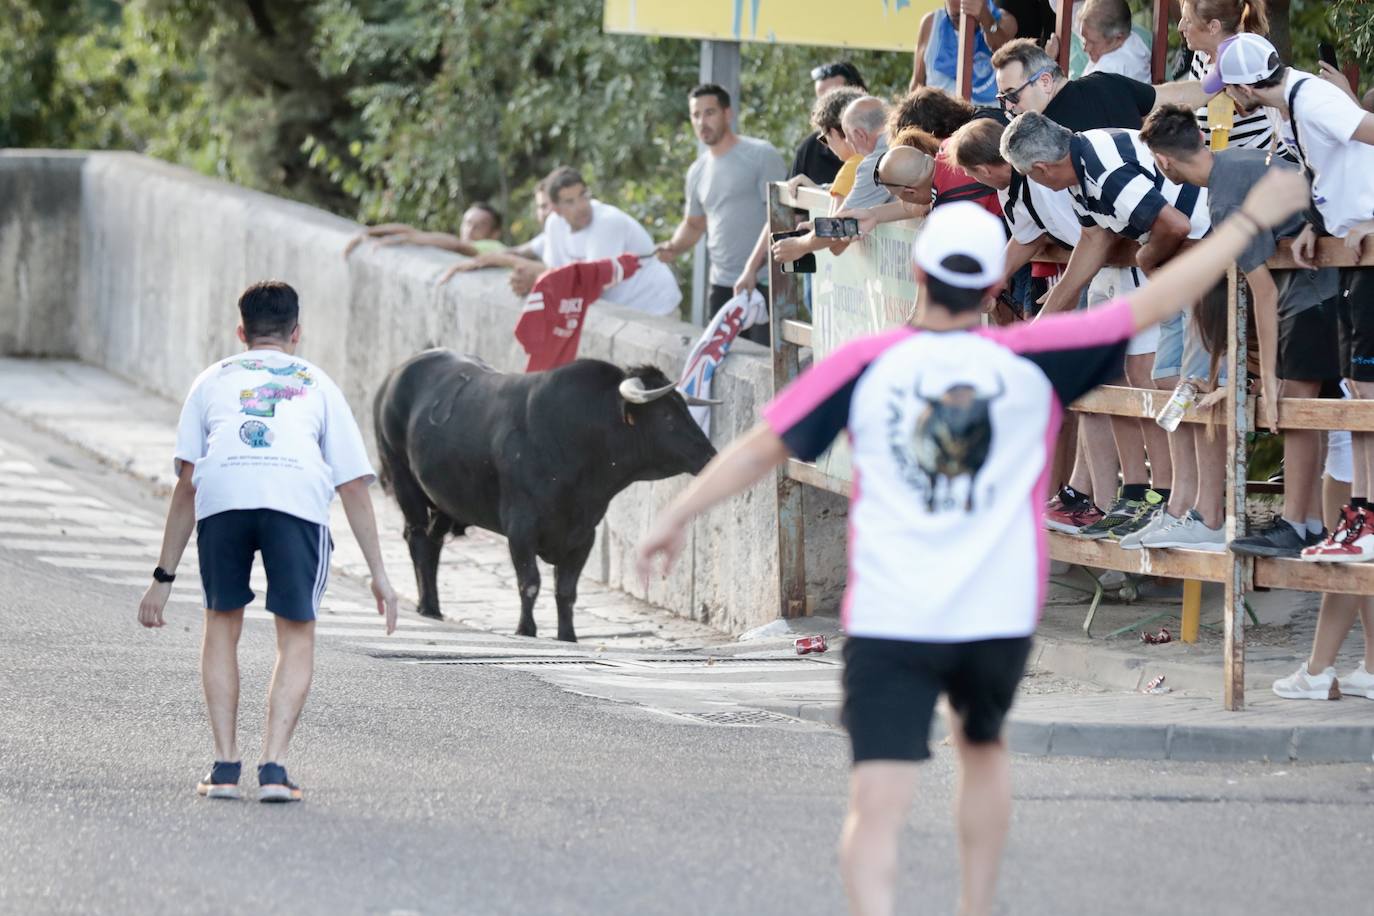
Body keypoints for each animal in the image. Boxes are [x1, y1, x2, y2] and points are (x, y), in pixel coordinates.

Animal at [376, 351, 719, 645]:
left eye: (685, 408)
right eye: (667, 415)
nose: (711, 456)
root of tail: (398, 372)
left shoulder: (584, 535)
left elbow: (566, 591)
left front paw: (568, 636)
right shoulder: (521, 529)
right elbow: (530, 582)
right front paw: (525, 630)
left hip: (445, 500)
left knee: (433, 541)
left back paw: (433, 605)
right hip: (403, 477)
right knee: (417, 537)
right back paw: (426, 606)